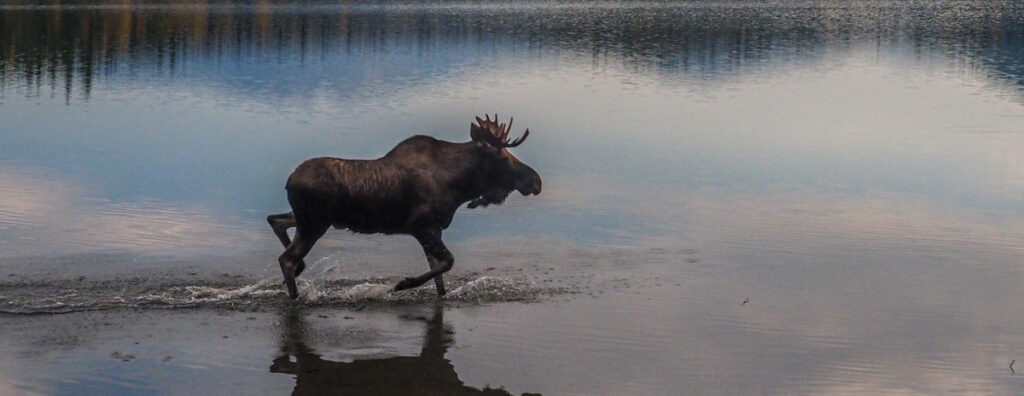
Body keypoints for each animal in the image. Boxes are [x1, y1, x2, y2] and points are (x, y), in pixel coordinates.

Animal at [266, 116, 544, 298]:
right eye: (503, 156)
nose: (536, 181)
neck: (460, 187)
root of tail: (289, 180)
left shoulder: (434, 230)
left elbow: (439, 275)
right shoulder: (421, 226)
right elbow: (448, 262)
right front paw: (403, 284)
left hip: (310, 219)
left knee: (275, 220)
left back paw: (300, 270)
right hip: (314, 223)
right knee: (286, 258)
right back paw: (295, 295)